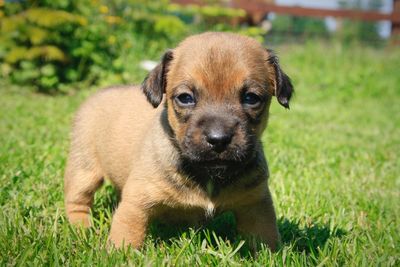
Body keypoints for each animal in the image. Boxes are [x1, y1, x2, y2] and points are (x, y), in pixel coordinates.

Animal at [64, 31, 292, 251]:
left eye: (251, 98)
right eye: (185, 98)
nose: (218, 139)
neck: (209, 174)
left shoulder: (256, 205)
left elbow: (265, 238)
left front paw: (270, 256)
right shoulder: (136, 203)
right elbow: (128, 235)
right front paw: (119, 255)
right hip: (84, 168)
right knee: (77, 200)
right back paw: (82, 228)